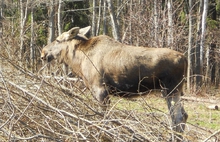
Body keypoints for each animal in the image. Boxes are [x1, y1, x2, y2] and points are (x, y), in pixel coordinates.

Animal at [41, 25, 189, 138]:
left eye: (57, 40)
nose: (43, 52)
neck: (79, 60)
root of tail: (185, 59)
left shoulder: (100, 89)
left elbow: (104, 118)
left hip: (170, 89)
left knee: (178, 118)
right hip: (174, 91)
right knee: (184, 115)